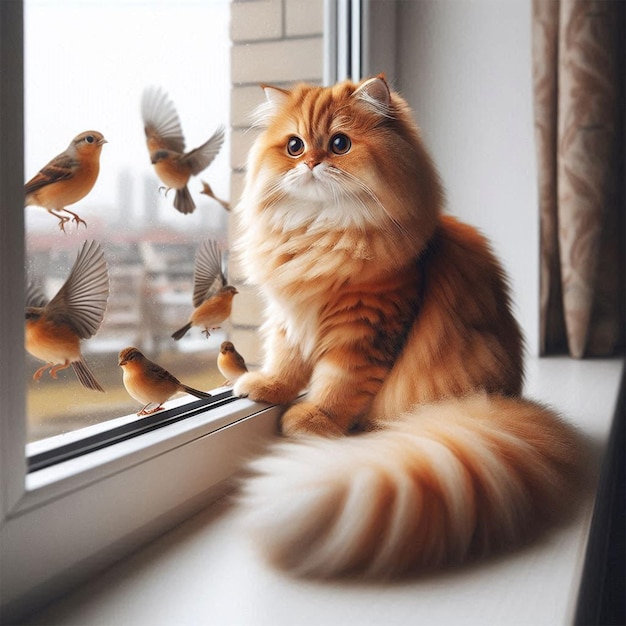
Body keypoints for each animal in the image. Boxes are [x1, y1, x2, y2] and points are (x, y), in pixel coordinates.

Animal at [232, 75, 584, 576]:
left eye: (339, 144)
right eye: (294, 146)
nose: (312, 163)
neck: (320, 234)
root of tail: (503, 400)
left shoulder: (365, 329)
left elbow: (337, 384)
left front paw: (312, 420)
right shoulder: (289, 316)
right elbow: (285, 363)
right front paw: (266, 387)